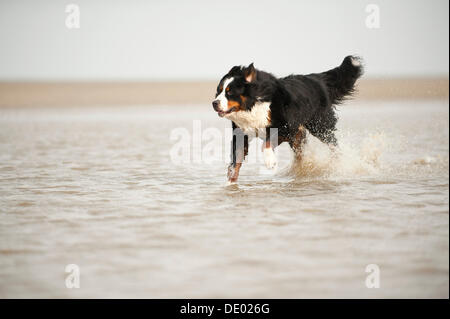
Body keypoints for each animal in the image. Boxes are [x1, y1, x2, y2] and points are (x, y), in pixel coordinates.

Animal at [213, 55, 364, 182]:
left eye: (230, 92)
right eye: (218, 91)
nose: (214, 103)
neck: (253, 105)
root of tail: (316, 78)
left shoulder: (285, 127)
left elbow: (266, 143)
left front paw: (270, 161)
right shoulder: (241, 133)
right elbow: (237, 158)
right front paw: (231, 178)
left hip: (320, 126)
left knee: (334, 145)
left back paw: (337, 163)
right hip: (299, 136)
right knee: (301, 155)